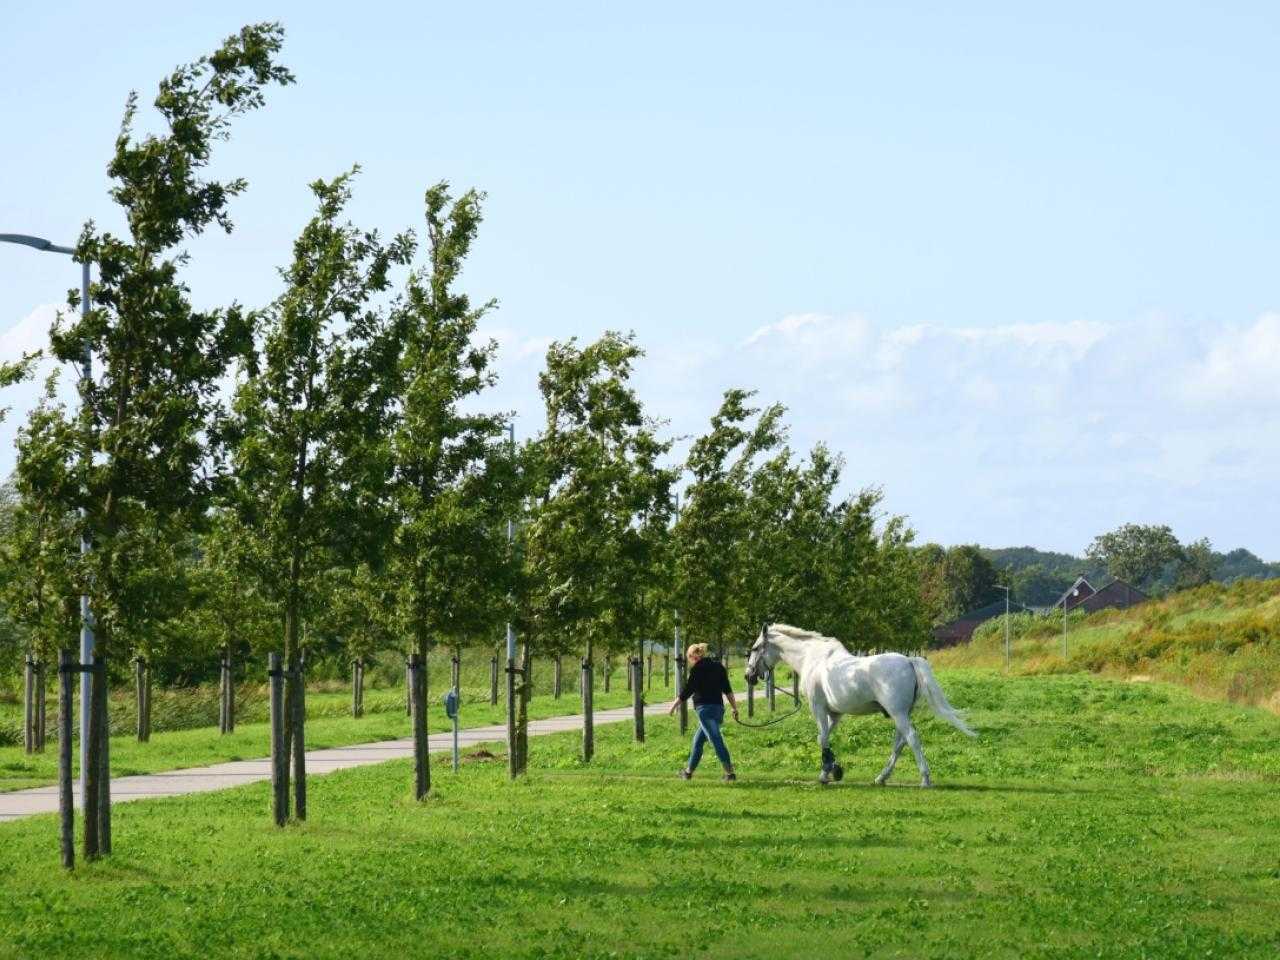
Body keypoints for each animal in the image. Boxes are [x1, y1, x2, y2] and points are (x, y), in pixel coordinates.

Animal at [747, 624, 972, 788]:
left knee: (911, 738)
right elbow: (824, 738)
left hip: (898, 713)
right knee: (900, 743)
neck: (813, 659)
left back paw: (924, 779)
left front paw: (828, 772)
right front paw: (831, 769)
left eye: (755, 648)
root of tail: (909, 661)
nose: (748, 676)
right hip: (901, 714)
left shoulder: (818, 708)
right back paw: (881, 777)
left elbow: (822, 738)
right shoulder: (835, 714)